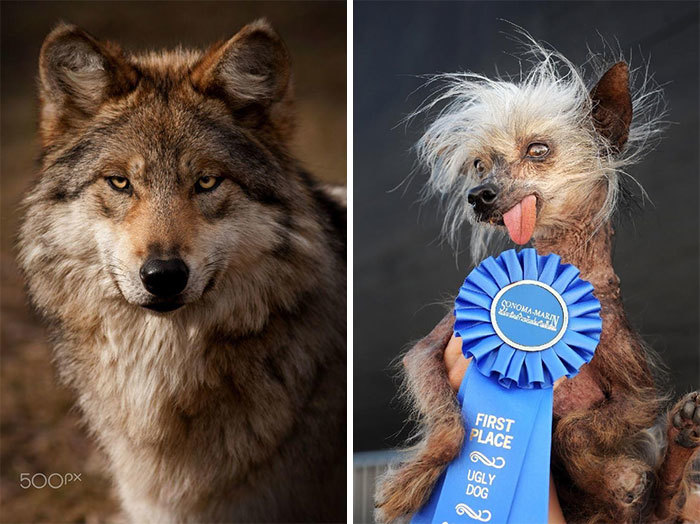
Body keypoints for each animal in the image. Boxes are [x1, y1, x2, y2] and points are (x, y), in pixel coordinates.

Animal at [378, 36, 700, 524]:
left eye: (538, 150)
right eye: (479, 164)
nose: (478, 195)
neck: (551, 269)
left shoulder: (639, 395)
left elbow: (574, 432)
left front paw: (617, 476)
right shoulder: (428, 350)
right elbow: (449, 424)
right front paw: (409, 482)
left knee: (664, 501)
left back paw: (679, 438)